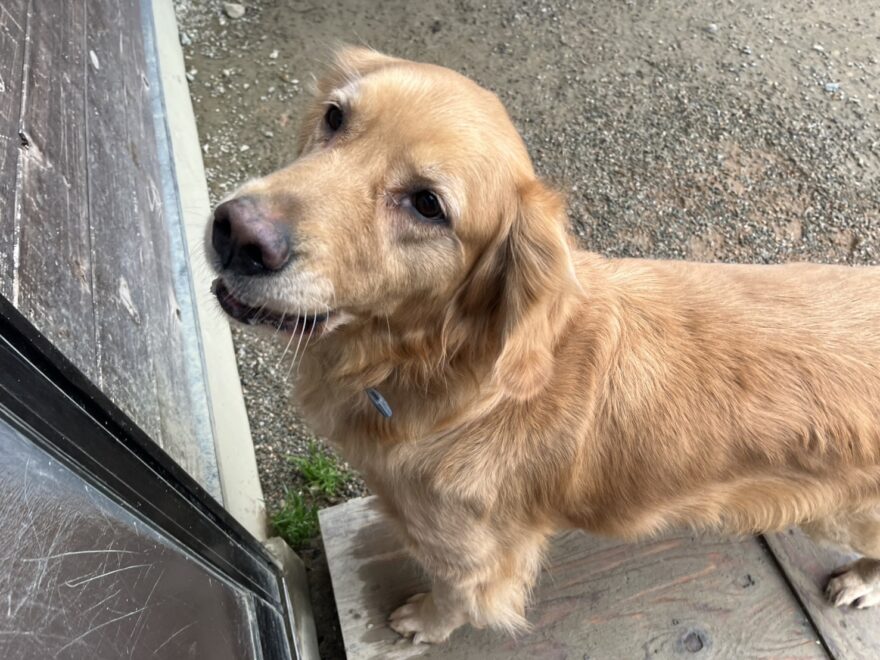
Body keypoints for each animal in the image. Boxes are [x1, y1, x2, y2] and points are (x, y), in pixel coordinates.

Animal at [208, 47, 880, 643]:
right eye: (334, 117)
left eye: (427, 205)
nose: (238, 233)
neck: (446, 374)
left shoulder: (471, 555)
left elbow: (455, 598)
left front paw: (423, 622)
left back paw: (857, 582)